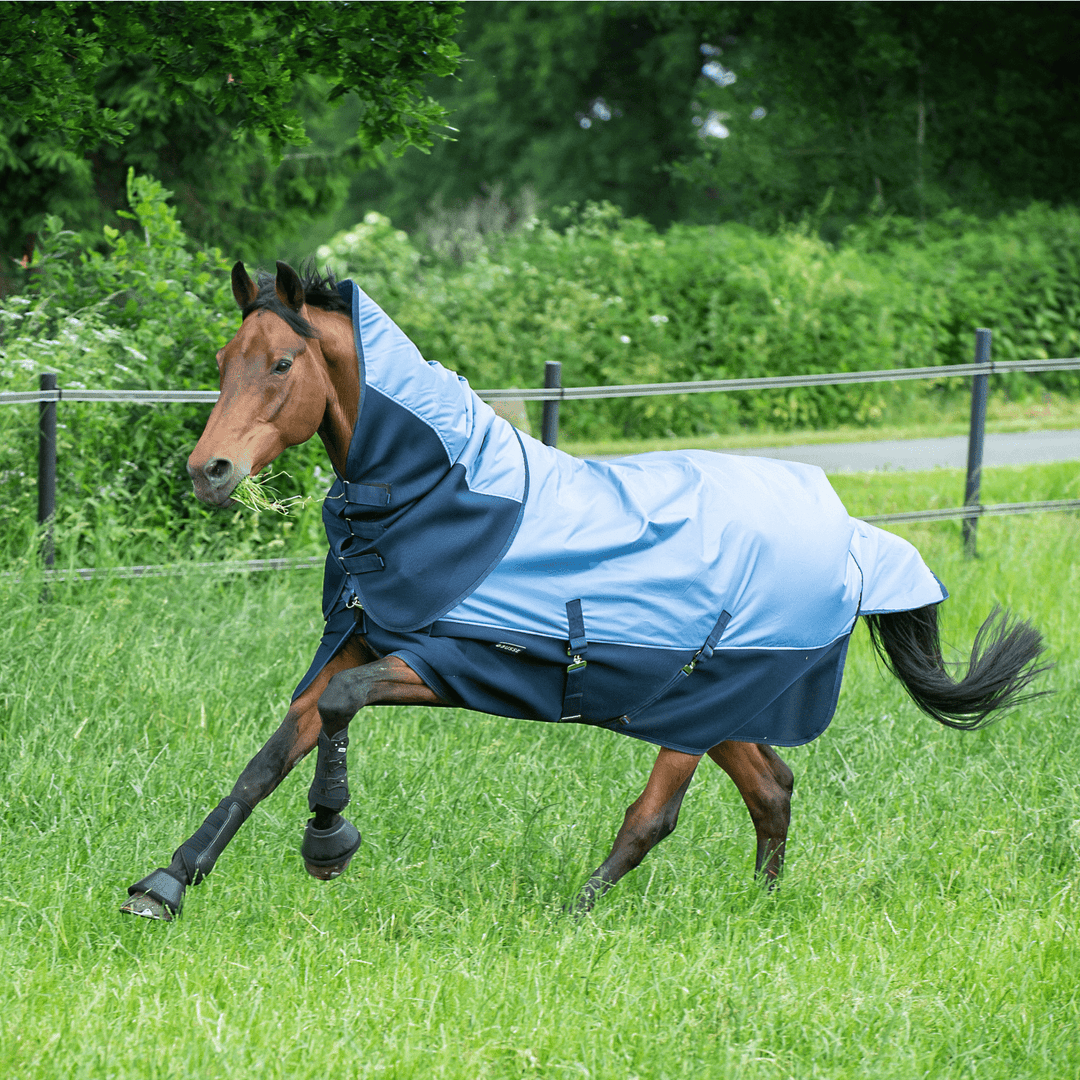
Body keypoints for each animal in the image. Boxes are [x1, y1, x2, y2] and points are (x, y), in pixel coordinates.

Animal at [121, 262, 1049, 921]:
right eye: (221, 363)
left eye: (281, 362)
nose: (210, 471)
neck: (446, 495)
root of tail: (858, 542)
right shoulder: (360, 641)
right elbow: (274, 754)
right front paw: (167, 883)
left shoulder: (455, 664)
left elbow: (339, 713)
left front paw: (328, 844)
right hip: (707, 707)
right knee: (772, 788)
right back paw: (758, 909)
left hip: (698, 709)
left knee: (655, 817)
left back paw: (576, 915)